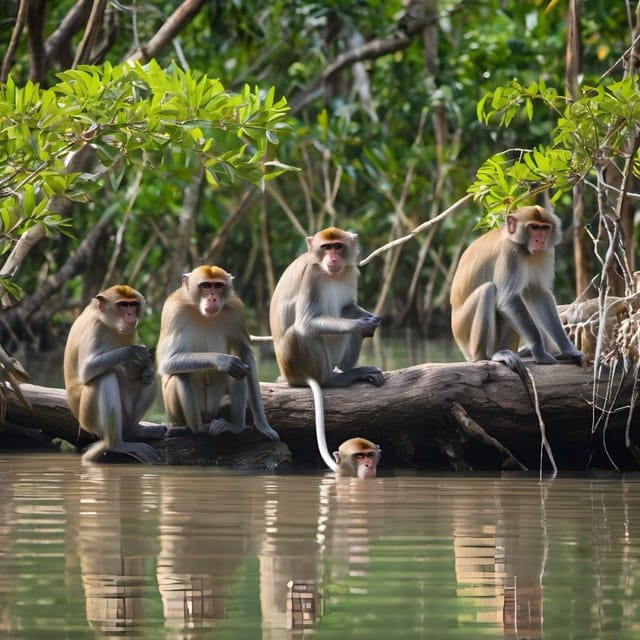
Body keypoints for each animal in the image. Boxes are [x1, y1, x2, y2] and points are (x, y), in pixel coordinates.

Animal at [63, 286, 162, 464]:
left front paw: (148, 367)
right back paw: (117, 445)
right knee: (105, 377)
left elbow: (147, 370)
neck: (108, 322)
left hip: (125, 415)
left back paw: (134, 430)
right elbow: (87, 370)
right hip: (88, 417)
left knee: (150, 379)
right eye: (123, 305)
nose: (130, 314)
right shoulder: (95, 327)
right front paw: (133, 352)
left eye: (133, 304)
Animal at [156, 264, 278, 440]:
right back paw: (196, 429)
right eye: (206, 285)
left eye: (218, 286)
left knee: (239, 374)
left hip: (217, 407)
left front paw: (263, 426)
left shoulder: (236, 309)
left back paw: (235, 427)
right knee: (179, 375)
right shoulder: (173, 310)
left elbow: (245, 354)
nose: (213, 298)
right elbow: (166, 363)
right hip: (178, 415)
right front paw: (223, 361)